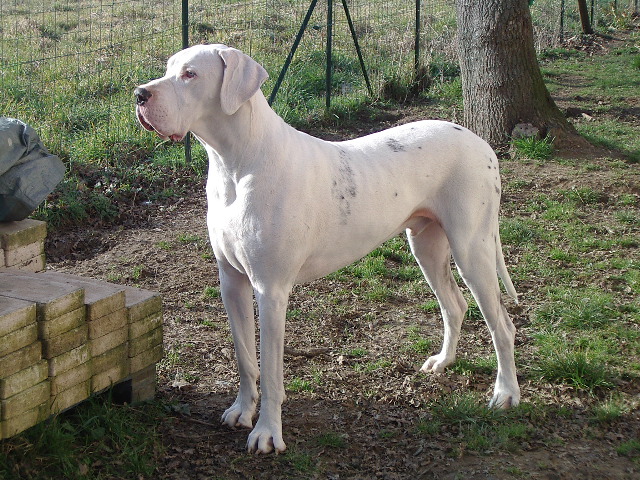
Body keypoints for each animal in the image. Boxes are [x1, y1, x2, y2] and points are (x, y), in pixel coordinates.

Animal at [135, 44, 520, 454]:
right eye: (168, 69)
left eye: (190, 74)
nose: (139, 95)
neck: (235, 162)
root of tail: (482, 143)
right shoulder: (231, 281)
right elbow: (244, 357)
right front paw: (241, 410)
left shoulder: (270, 291)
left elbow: (271, 371)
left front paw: (267, 432)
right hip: (426, 245)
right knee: (455, 305)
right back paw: (443, 362)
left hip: (472, 249)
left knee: (502, 325)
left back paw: (506, 393)